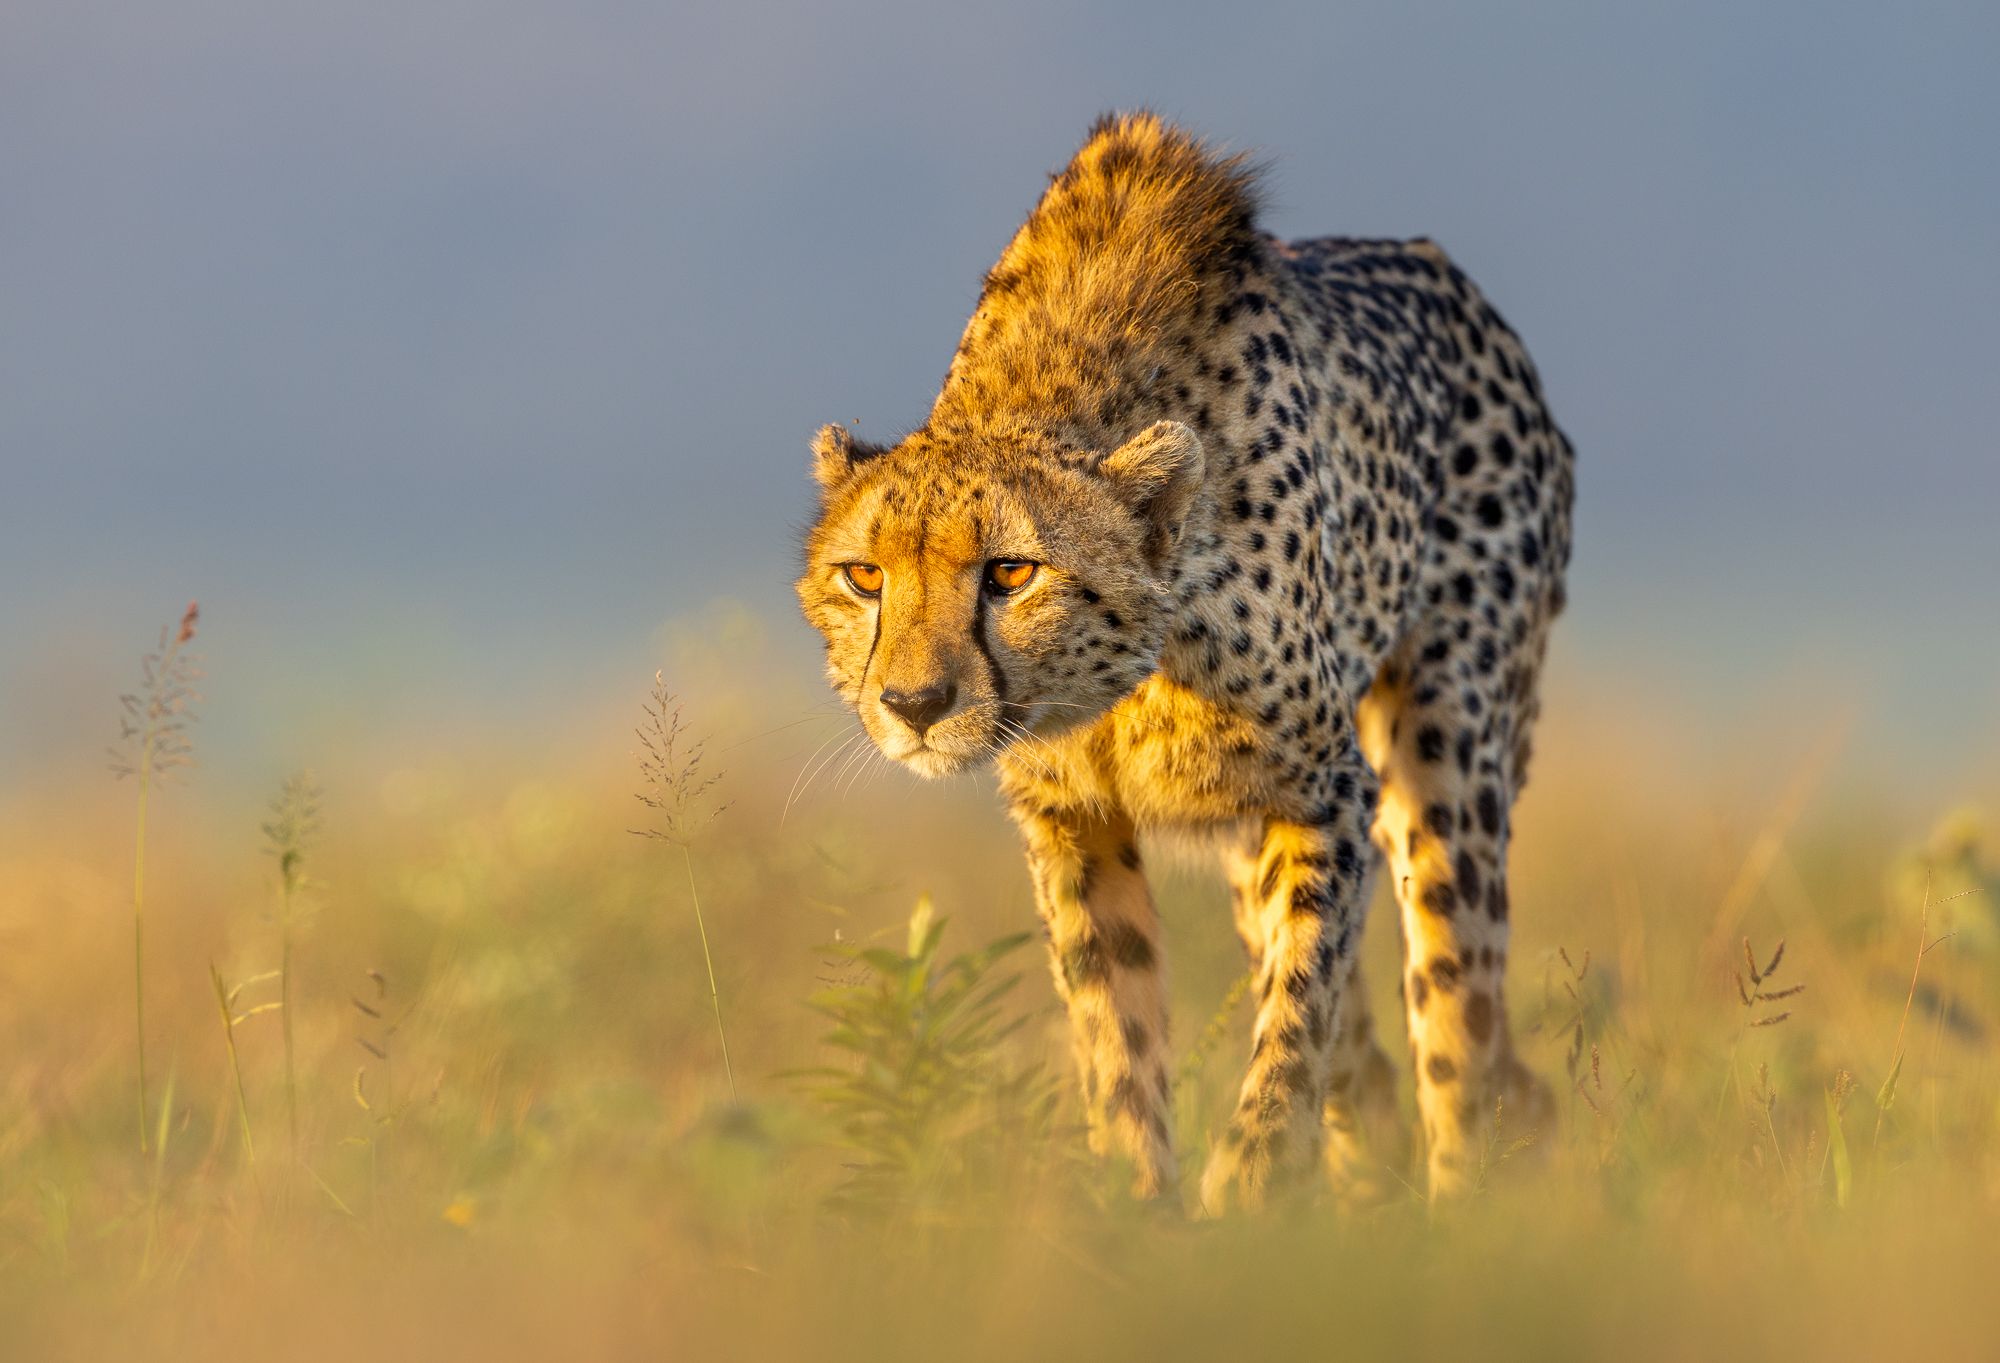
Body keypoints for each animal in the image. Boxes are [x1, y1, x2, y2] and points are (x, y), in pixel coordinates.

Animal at [796, 112, 1575, 1211]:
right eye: (863, 575)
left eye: (1010, 572)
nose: (911, 702)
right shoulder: (1073, 818)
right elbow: (1113, 1028)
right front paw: (1136, 1211)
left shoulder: (1325, 790)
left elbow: (1298, 1007)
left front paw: (1249, 1181)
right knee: (1368, 1056)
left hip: (1446, 747)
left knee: (1456, 1012)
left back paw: (1466, 1203)